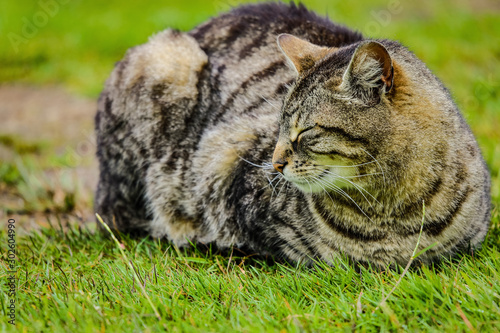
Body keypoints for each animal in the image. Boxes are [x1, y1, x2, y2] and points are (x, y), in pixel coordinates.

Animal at [94, 2, 492, 266]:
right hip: (164, 62)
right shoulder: (223, 164)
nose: (274, 163)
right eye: (280, 128)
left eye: (305, 131)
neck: (389, 209)